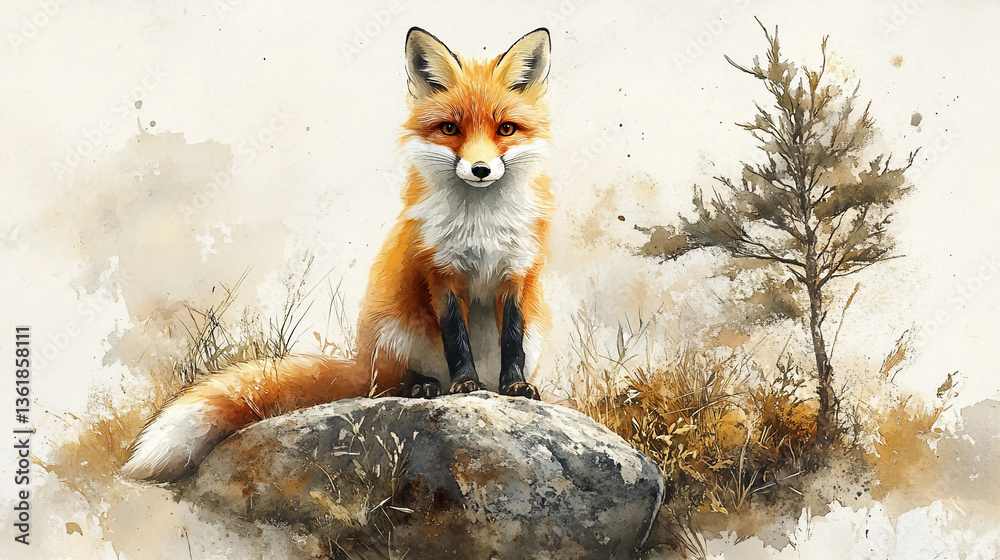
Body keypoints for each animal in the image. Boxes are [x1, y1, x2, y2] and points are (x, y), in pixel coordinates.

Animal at [121, 27, 555, 482]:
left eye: (506, 128)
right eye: (450, 128)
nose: (481, 170)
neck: (481, 227)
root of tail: (363, 360)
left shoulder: (519, 273)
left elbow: (512, 339)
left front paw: (516, 388)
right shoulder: (440, 272)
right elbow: (456, 339)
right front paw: (464, 385)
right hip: (394, 333)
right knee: (389, 385)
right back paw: (423, 386)